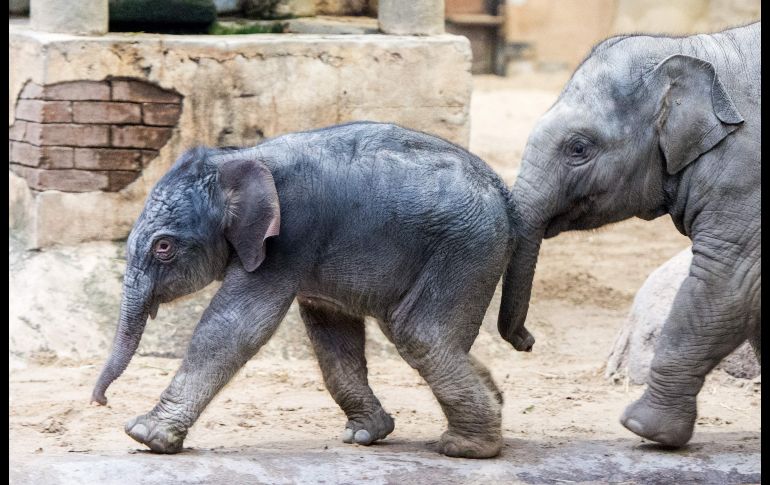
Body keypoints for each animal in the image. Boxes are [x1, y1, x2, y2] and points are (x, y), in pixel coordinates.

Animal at [91, 121, 534, 458]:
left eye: (163, 247)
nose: (100, 401)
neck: (237, 158)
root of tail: (503, 191)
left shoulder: (289, 237)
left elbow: (236, 326)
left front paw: (145, 435)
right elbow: (330, 331)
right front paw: (364, 435)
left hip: (466, 248)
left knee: (419, 333)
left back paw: (465, 448)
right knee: (416, 332)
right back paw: (492, 404)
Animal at [498, 22, 760, 447]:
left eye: (578, 148)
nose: (529, 342)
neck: (698, 52)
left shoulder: (745, 178)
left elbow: (728, 281)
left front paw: (643, 429)